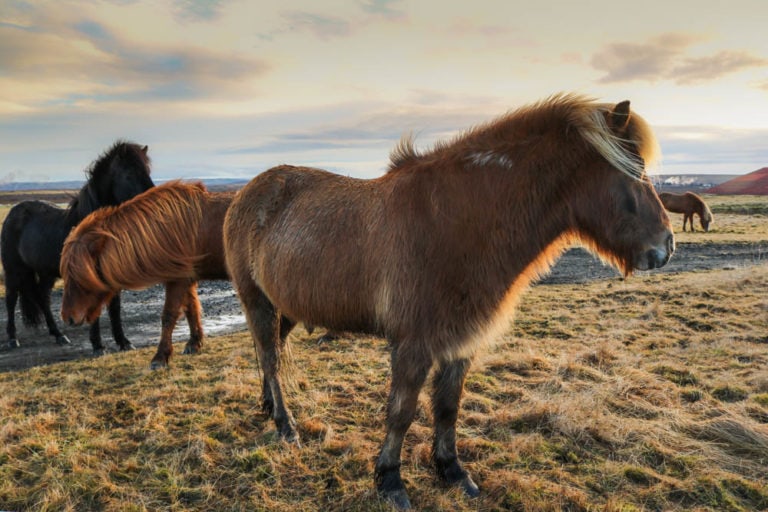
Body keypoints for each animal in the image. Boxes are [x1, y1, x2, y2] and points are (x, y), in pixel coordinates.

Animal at [0, 141, 154, 352]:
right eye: (129, 174)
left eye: (147, 170)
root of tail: (12, 214)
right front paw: (98, 345)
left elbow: (115, 308)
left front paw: (124, 342)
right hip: (13, 270)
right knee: (10, 299)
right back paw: (12, 339)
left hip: (46, 273)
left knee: (43, 298)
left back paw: (59, 335)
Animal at [59, 180, 232, 368]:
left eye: (78, 277)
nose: (67, 318)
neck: (167, 229)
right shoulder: (186, 278)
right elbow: (191, 309)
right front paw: (194, 343)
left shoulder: (178, 280)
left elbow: (168, 316)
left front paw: (160, 357)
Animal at [225, 93, 676, 508]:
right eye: (635, 171)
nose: (667, 246)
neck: (457, 220)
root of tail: (247, 192)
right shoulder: (414, 344)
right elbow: (402, 411)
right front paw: (390, 480)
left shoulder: (460, 341)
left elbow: (447, 407)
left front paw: (452, 471)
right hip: (256, 301)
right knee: (270, 359)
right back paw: (286, 425)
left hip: (284, 308)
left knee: (270, 353)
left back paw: (268, 407)